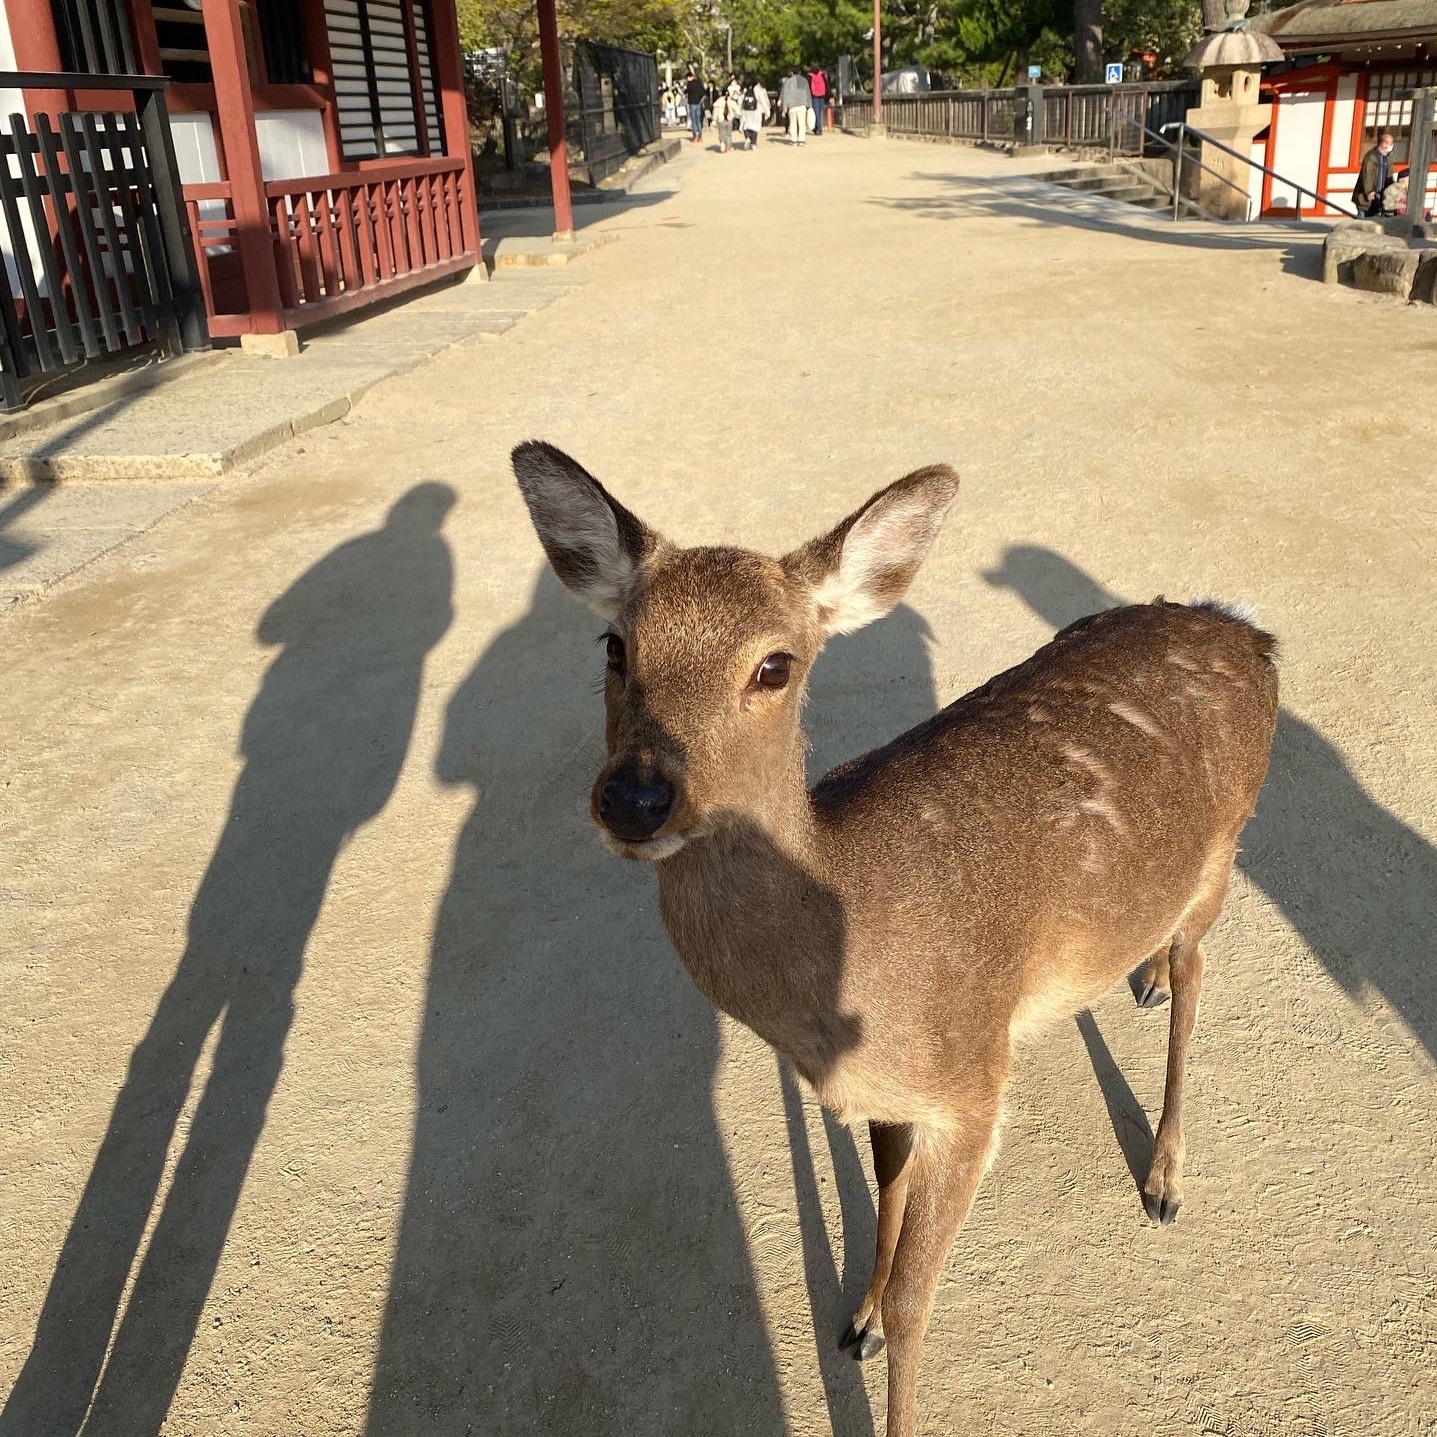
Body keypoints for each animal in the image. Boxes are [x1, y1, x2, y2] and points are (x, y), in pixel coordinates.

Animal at [511, 440, 1279, 1437]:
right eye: (614, 645)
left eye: (774, 665)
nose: (634, 796)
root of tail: (1246, 628)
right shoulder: (889, 1089)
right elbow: (884, 1185)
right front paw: (859, 1318)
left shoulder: (972, 1084)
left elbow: (923, 1296)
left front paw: (888, 1345)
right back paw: (1137, 976)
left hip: (1227, 841)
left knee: (1197, 969)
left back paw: (1162, 1177)